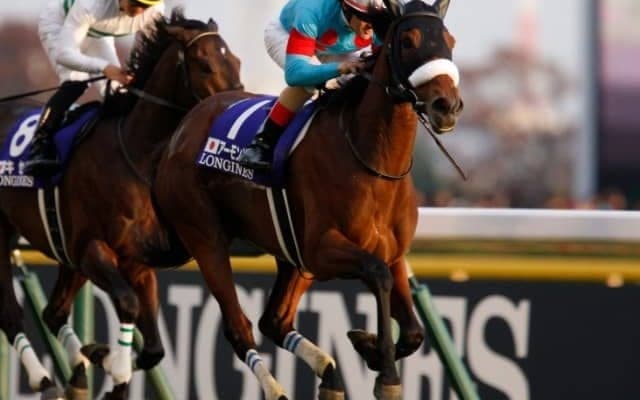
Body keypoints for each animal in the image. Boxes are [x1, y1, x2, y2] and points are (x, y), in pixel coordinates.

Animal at [0, 9, 242, 400]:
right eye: (205, 64)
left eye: (234, 60)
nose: (232, 110)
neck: (135, 153)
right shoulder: (92, 250)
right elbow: (128, 304)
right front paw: (114, 366)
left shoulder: (135, 261)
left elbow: (155, 348)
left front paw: (104, 359)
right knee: (10, 313)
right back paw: (43, 378)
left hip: (65, 252)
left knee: (53, 312)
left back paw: (78, 373)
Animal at [153, 0, 462, 399]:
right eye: (408, 41)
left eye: (449, 41)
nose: (446, 105)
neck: (374, 162)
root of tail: (184, 127)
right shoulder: (322, 248)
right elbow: (377, 275)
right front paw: (385, 369)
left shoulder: (392, 254)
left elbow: (413, 330)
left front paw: (370, 347)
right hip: (206, 238)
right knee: (239, 327)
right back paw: (276, 387)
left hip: (293, 258)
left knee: (274, 321)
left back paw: (329, 375)